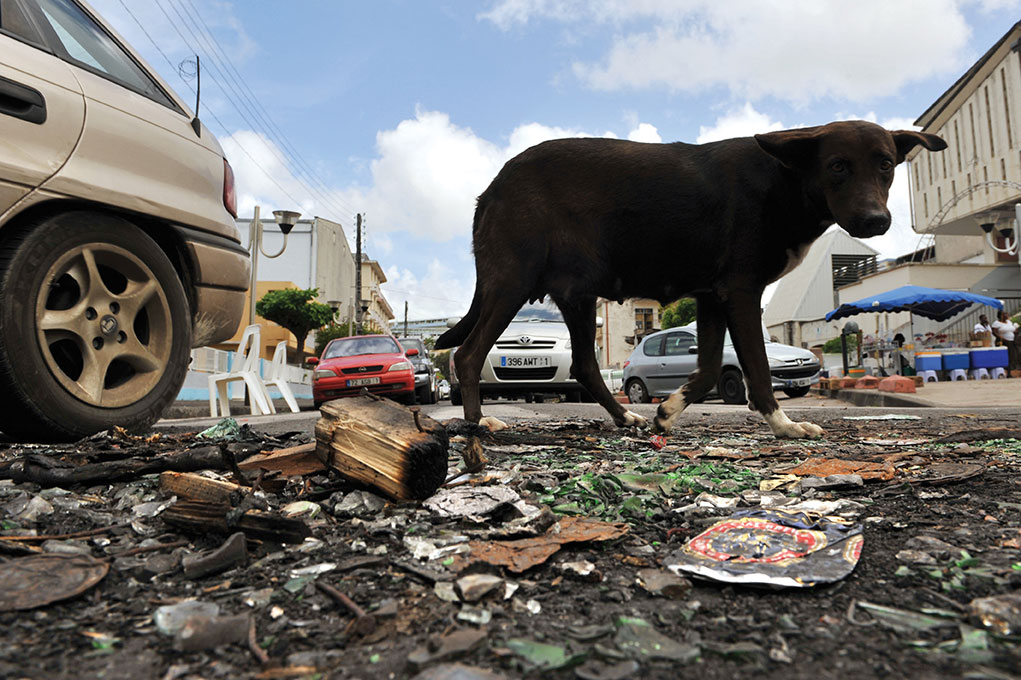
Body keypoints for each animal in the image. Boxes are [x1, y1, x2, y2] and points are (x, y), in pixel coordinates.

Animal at [434, 120, 943, 436]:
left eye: (886, 164)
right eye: (837, 166)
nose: (876, 221)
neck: (785, 180)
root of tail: (493, 188)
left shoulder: (711, 296)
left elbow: (709, 369)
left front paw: (666, 412)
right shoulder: (740, 291)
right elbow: (758, 371)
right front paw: (784, 426)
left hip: (577, 296)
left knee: (584, 366)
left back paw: (627, 418)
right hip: (512, 281)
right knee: (468, 354)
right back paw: (479, 423)